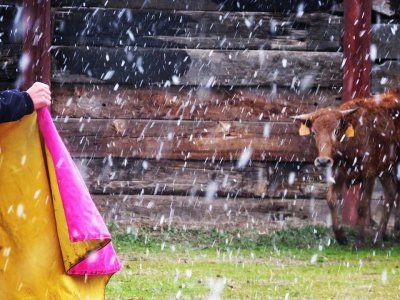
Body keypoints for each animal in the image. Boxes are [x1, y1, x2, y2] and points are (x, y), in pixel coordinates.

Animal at [290, 92, 400, 248]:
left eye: (336, 131)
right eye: (313, 133)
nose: (323, 161)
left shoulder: (369, 172)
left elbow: (363, 206)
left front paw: (358, 241)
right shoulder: (338, 172)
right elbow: (331, 200)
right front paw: (341, 237)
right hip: (386, 169)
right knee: (392, 191)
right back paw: (380, 236)